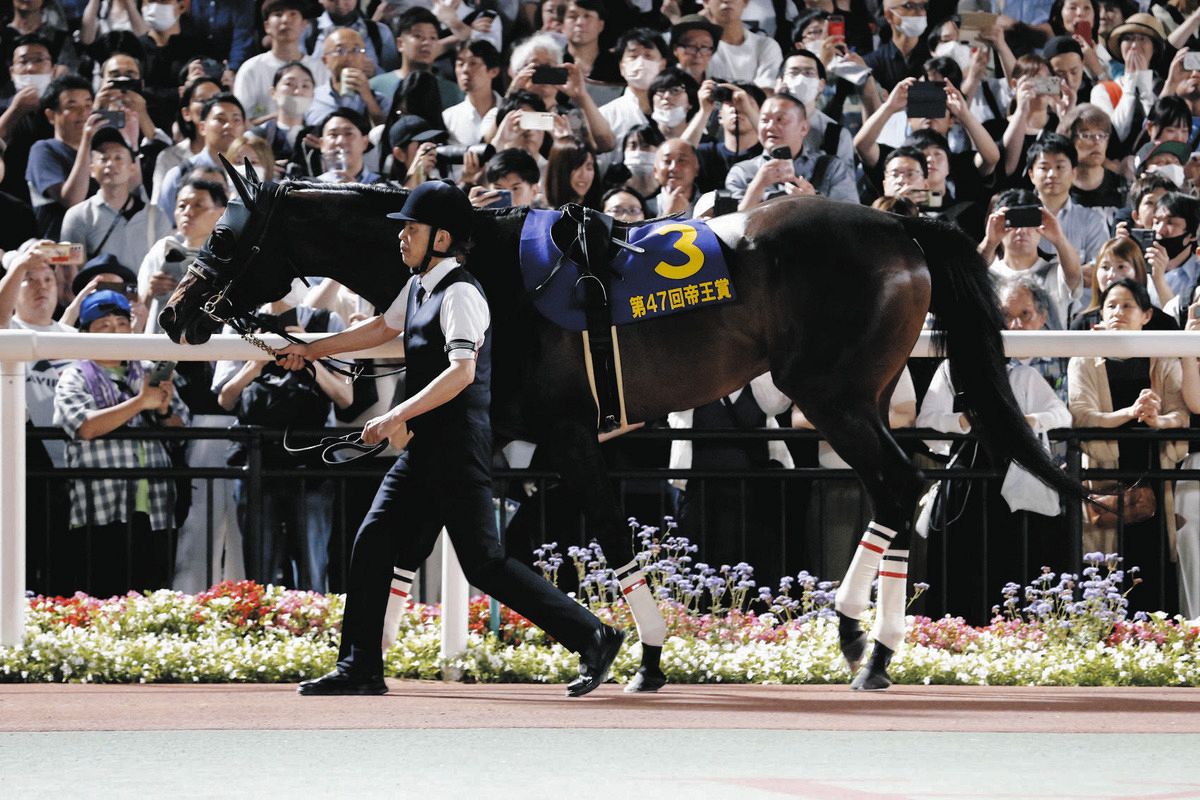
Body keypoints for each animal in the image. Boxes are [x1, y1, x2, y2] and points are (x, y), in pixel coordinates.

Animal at [159, 164, 1082, 691]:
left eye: (228, 236)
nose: (173, 315)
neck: (486, 272)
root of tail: (900, 223)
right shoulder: (502, 441)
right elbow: (423, 542)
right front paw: (369, 657)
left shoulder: (569, 436)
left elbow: (605, 538)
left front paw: (635, 655)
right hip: (865, 390)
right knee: (901, 493)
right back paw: (878, 646)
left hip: (831, 393)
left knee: (898, 486)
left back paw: (862, 636)